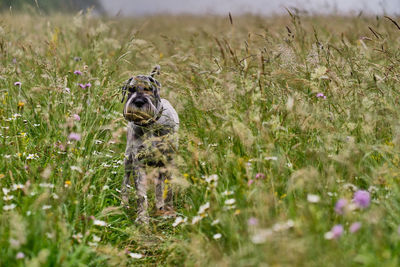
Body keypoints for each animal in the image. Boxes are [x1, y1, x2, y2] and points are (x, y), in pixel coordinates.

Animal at [120, 65, 180, 224]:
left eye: (148, 89)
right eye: (131, 89)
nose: (139, 102)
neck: (150, 125)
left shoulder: (168, 161)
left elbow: (168, 189)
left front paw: (169, 212)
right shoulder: (138, 162)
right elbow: (141, 194)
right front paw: (142, 219)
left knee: (159, 186)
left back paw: (160, 207)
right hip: (128, 160)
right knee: (125, 183)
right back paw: (124, 204)